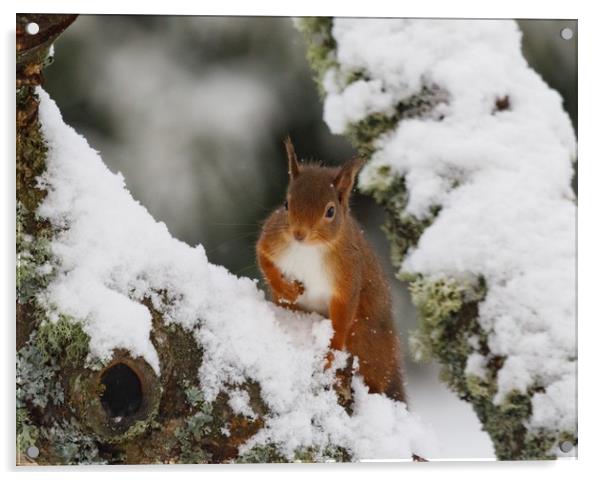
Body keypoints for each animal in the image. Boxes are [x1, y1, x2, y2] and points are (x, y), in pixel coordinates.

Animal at [255, 138, 406, 402]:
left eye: (330, 211)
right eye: (286, 204)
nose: (299, 234)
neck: (309, 248)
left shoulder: (348, 272)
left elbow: (342, 315)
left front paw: (329, 354)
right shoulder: (272, 238)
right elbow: (264, 259)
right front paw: (286, 289)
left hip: (367, 338)